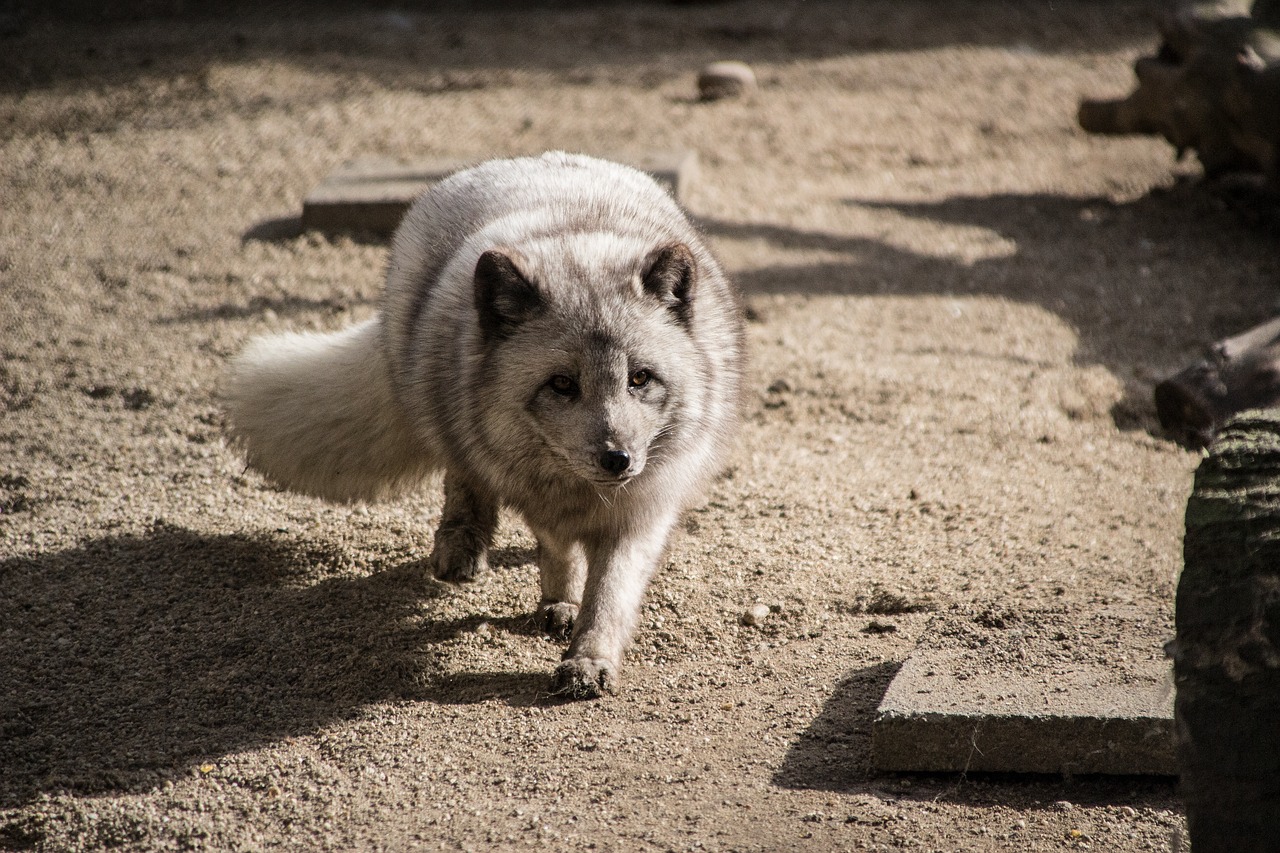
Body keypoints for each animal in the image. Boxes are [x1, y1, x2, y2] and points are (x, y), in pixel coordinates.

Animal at [226, 151, 747, 696]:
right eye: (562, 384)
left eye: (640, 378)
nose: (617, 459)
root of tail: (519, 160)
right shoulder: (534, 490)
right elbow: (555, 546)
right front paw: (562, 600)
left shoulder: (642, 511)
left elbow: (609, 593)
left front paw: (589, 656)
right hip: (439, 405)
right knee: (463, 478)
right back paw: (463, 545)